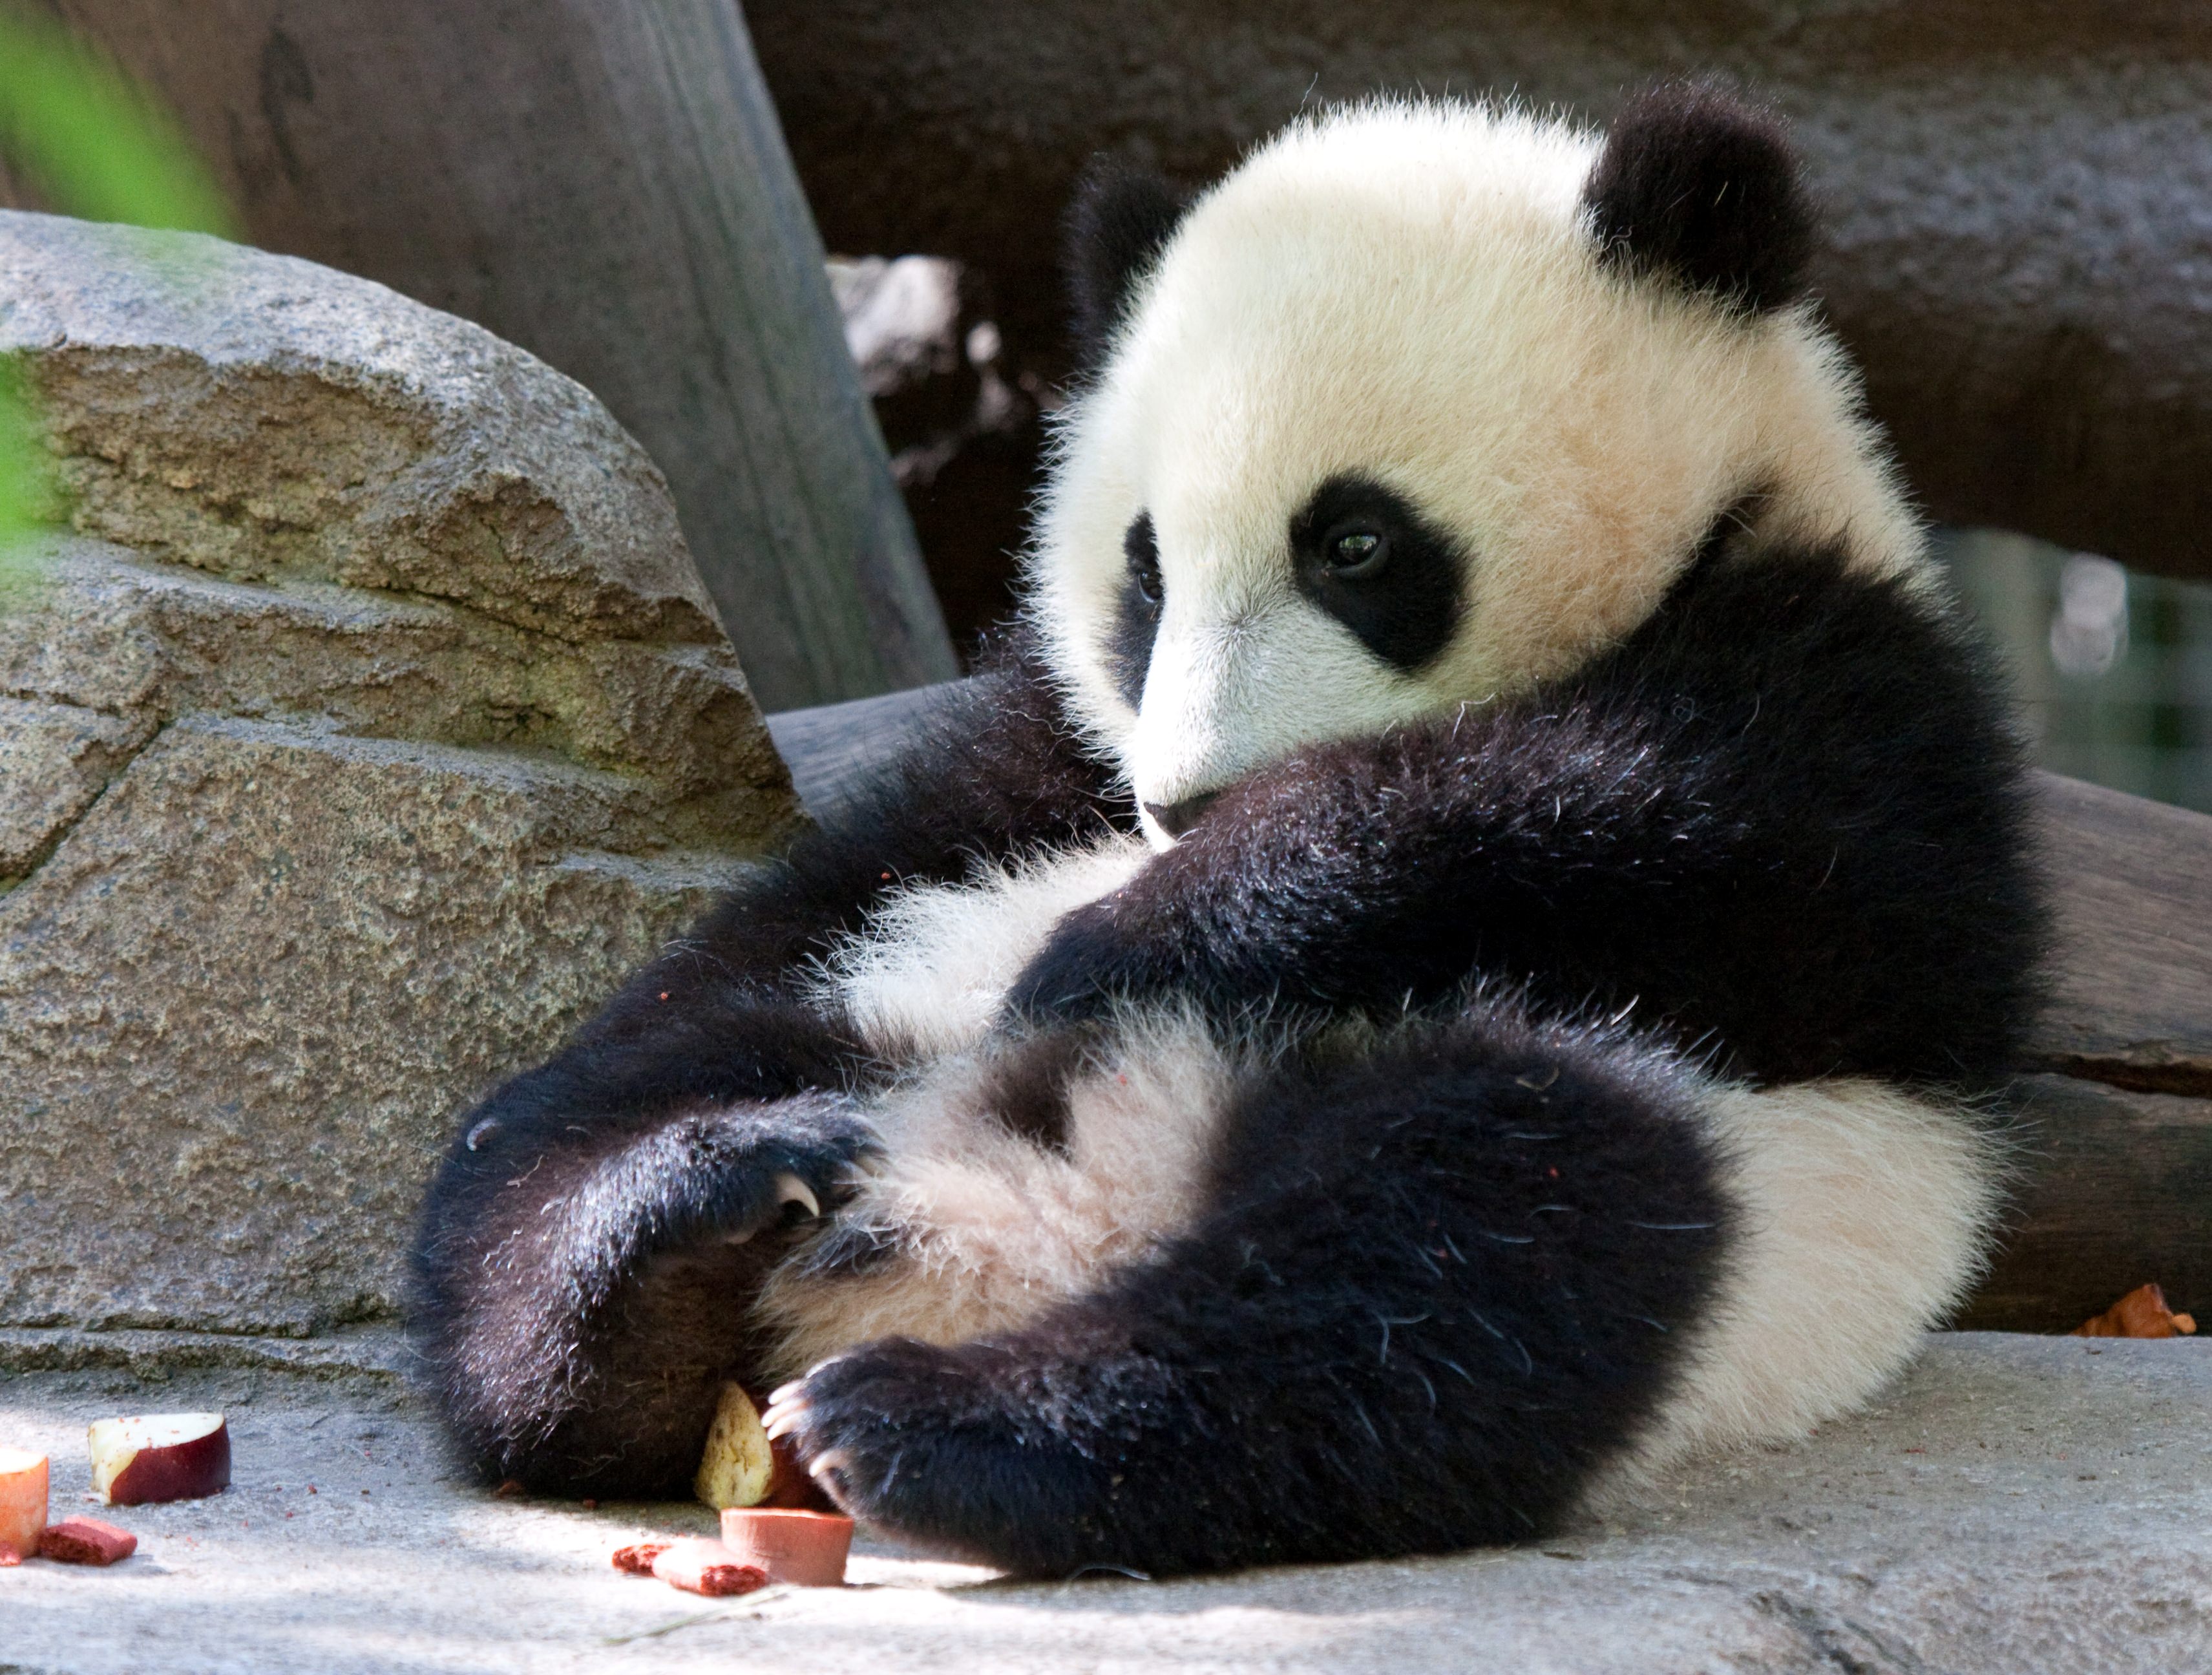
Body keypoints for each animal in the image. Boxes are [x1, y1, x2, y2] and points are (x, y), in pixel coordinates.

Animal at [410, 82, 2046, 1578]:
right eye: (1146, 571)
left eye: (1355, 542)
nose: (1183, 804)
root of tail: (1025, 1232)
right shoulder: (1025, 763)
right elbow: (829, 879)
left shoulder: (1866, 695)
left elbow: (1730, 842)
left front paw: (1156, 932)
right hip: (867, 1025)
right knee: (551, 1146)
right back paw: (675, 1236)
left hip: (1740, 1172)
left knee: (1461, 1252)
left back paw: (952, 1428)